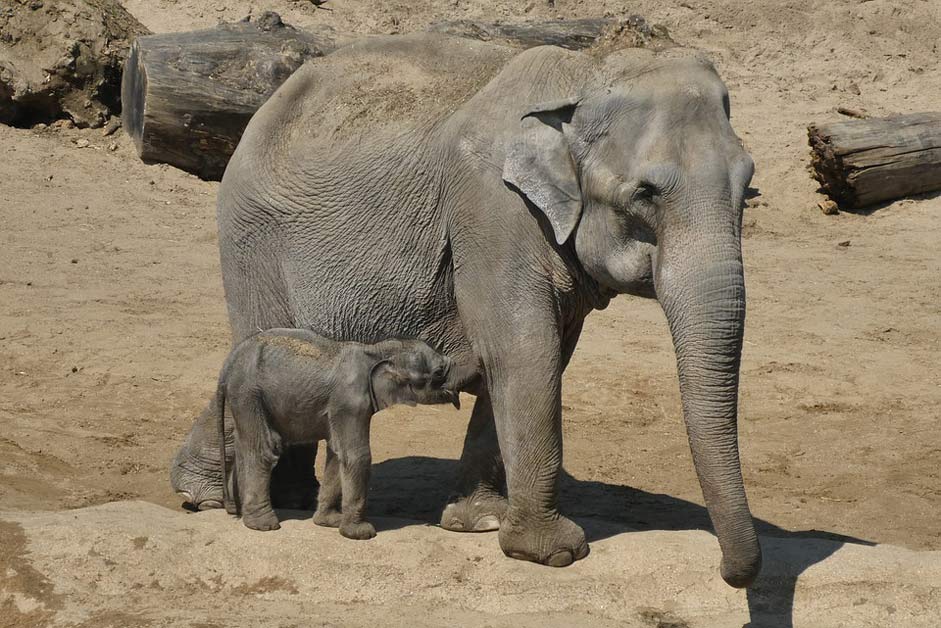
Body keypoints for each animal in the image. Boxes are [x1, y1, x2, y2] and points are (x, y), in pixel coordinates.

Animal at [217, 328, 458, 540]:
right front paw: (360, 533)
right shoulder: (350, 402)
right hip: (248, 394)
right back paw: (263, 524)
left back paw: (240, 512)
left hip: (244, 398)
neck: (376, 350)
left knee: (243, 446)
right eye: (438, 372)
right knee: (263, 449)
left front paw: (329, 522)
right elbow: (356, 455)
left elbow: (336, 453)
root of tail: (228, 364)